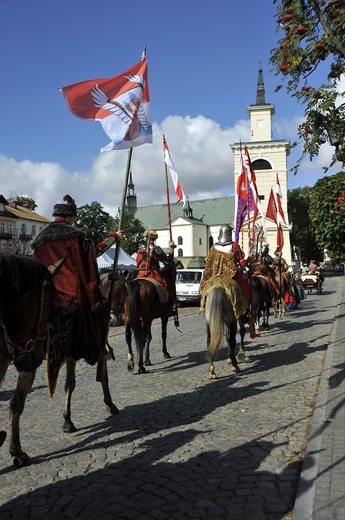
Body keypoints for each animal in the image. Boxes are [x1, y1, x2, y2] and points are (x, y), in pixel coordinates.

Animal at [0, 253, 121, 468]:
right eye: (124, 289)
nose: (118, 312)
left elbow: (69, 385)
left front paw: (67, 421)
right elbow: (91, 380)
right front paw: (109, 404)